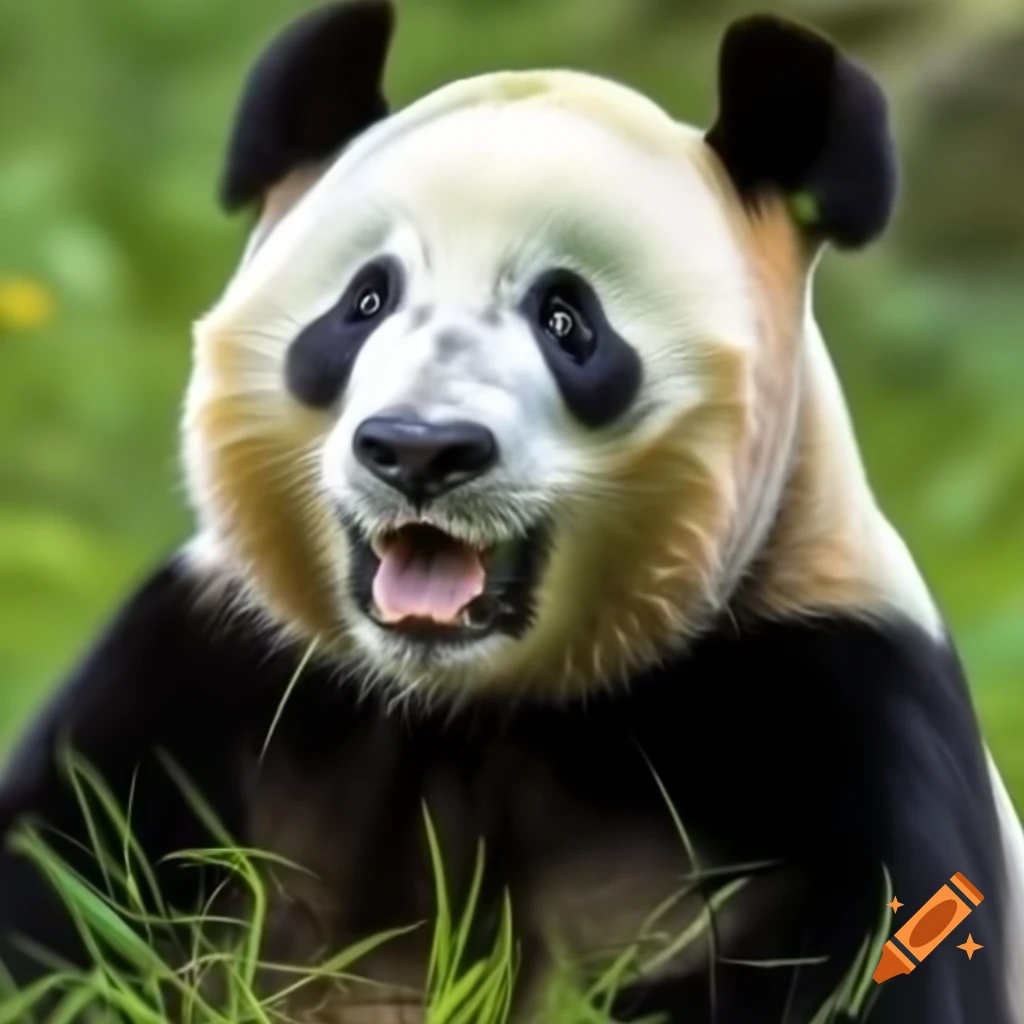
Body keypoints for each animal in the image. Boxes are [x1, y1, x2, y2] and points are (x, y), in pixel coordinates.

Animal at [2, 2, 1022, 1022]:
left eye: (567, 320)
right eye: (364, 301)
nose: (420, 449)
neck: (465, 697)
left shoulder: (839, 711)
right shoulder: (207, 672)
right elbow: (64, 898)